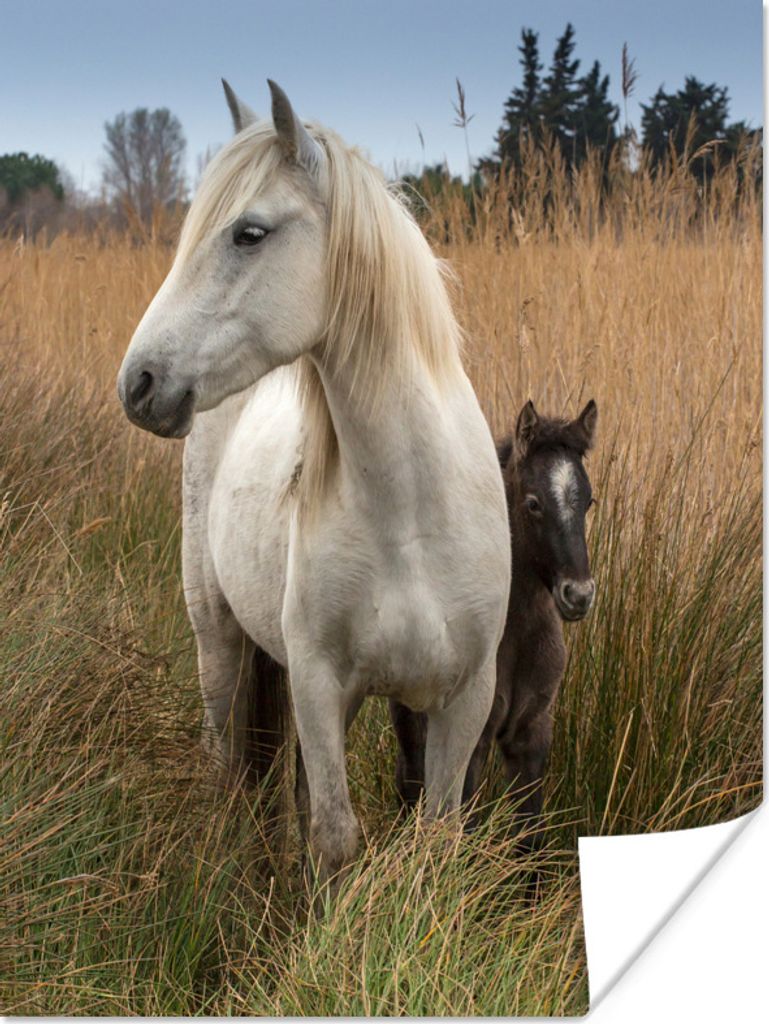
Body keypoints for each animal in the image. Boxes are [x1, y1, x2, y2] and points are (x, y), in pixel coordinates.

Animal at [116, 80, 511, 884]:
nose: (138, 384)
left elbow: (434, 839)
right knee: (226, 762)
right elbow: (332, 837)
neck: (411, 515)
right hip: (219, 639)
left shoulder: (463, 698)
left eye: (249, 233)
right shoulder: (319, 685)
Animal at [390, 399, 597, 850]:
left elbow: (530, 838)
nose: (578, 595)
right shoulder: (475, 739)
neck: (518, 634)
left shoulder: (531, 735)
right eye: (534, 503)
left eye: (589, 501)